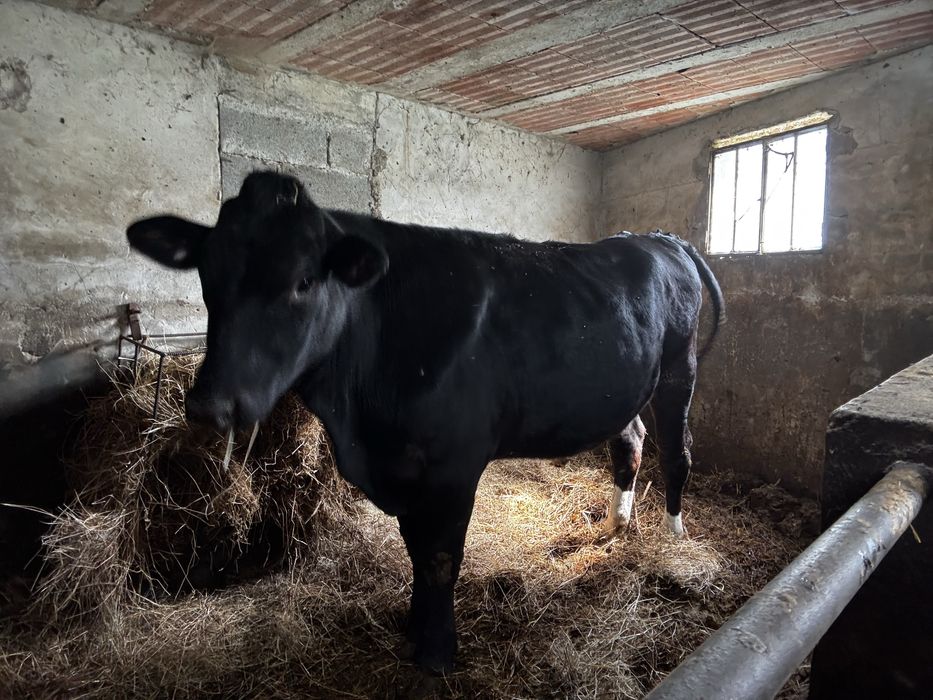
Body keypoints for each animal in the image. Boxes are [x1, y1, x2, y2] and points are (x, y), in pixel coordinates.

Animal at [127, 170, 724, 674]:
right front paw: (413, 627)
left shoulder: (453, 465)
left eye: (304, 280)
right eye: (207, 273)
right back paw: (619, 523)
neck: (359, 424)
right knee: (630, 441)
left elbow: (438, 558)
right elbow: (416, 550)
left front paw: (437, 653)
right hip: (623, 387)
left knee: (678, 449)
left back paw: (675, 541)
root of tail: (657, 237)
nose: (211, 404)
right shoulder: (404, 467)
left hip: (680, 369)